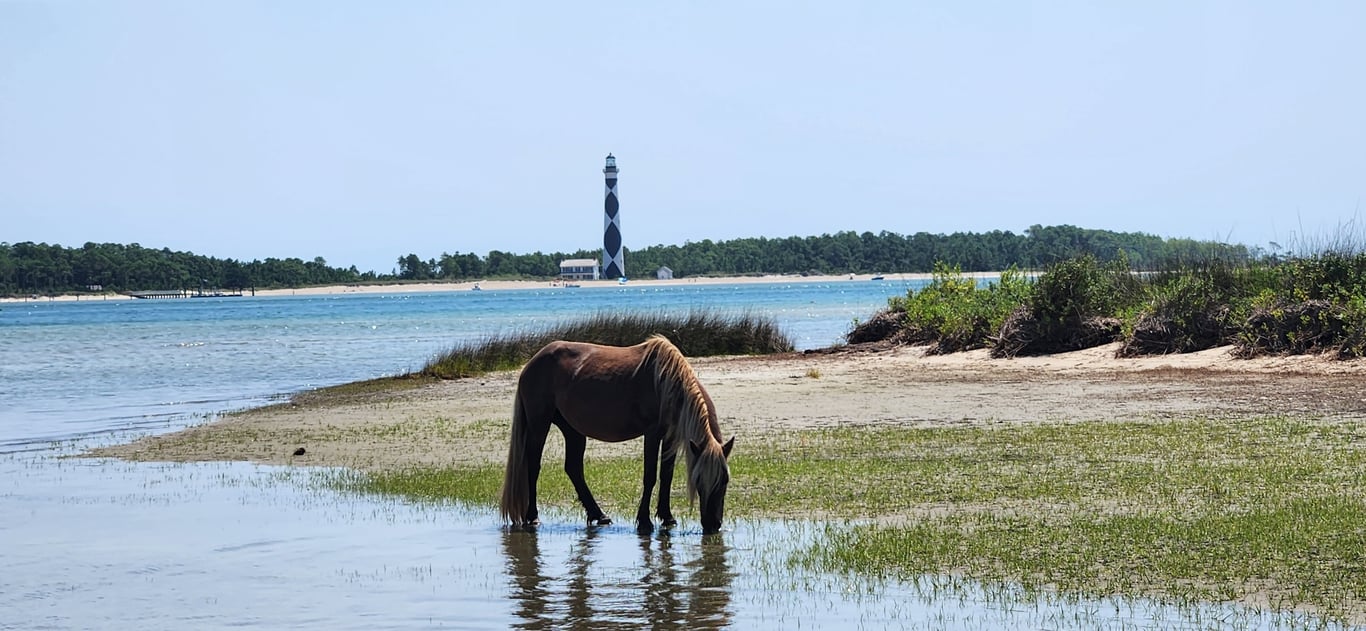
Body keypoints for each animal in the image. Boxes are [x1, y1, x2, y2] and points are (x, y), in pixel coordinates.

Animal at [499, 335, 734, 534]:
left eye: (725, 480)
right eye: (699, 480)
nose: (713, 524)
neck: (668, 384)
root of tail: (532, 363)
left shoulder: (670, 437)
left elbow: (666, 475)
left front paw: (667, 517)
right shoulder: (652, 434)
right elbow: (650, 476)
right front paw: (645, 521)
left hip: (573, 430)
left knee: (573, 469)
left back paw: (599, 515)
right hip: (540, 424)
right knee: (533, 466)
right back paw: (533, 517)